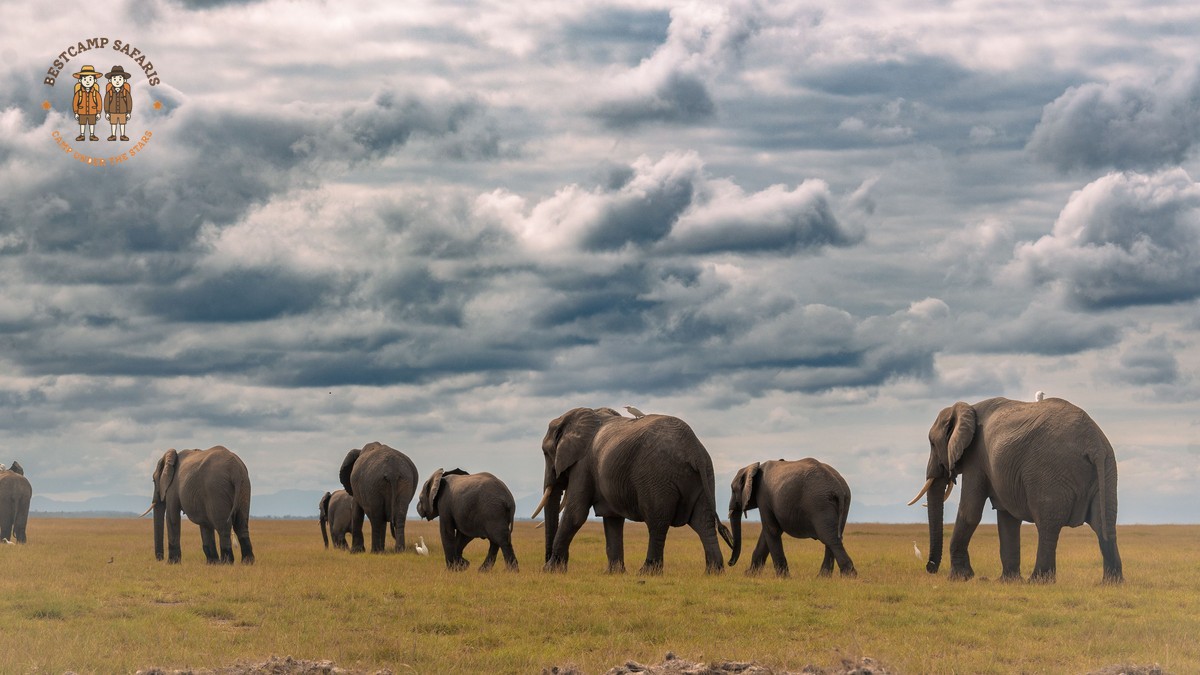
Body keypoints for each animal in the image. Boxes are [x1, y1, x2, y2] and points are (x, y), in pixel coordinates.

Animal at [532, 407, 734, 574]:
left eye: (545, 453)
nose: (548, 559)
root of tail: (693, 449)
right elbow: (612, 519)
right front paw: (613, 574)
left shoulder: (583, 465)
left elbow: (575, 514)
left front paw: (549, 571)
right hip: (705, 475)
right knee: (703, 522)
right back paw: (714, 572)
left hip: (657, 477)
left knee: (657, 522)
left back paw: (646, 572)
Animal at [728, 458, 856, 578]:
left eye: (733, 490)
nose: (729, 563)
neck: (755, 467)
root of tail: (838, 486)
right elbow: (766, 533)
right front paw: (749, 575)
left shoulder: (763, 496)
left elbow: (772, 530)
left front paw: (783, 578)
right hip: (843, 501)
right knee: (834, 536)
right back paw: (823, 578)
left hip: (819, 503)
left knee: (829, 537)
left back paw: (848, 576)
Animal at [910, 397, 1122, 583]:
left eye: (932, 444)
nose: (930, 568)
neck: (967, 408)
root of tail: (1094, 444)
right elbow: (1007, 518)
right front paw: (1007, 581)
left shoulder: (976, 459)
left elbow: (970, 512)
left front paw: (959, 578)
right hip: (1108, 469)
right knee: (1104, 523)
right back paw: (1111, 583)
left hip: (1050, 472)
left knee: (1048, 525)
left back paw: (1038, 582)